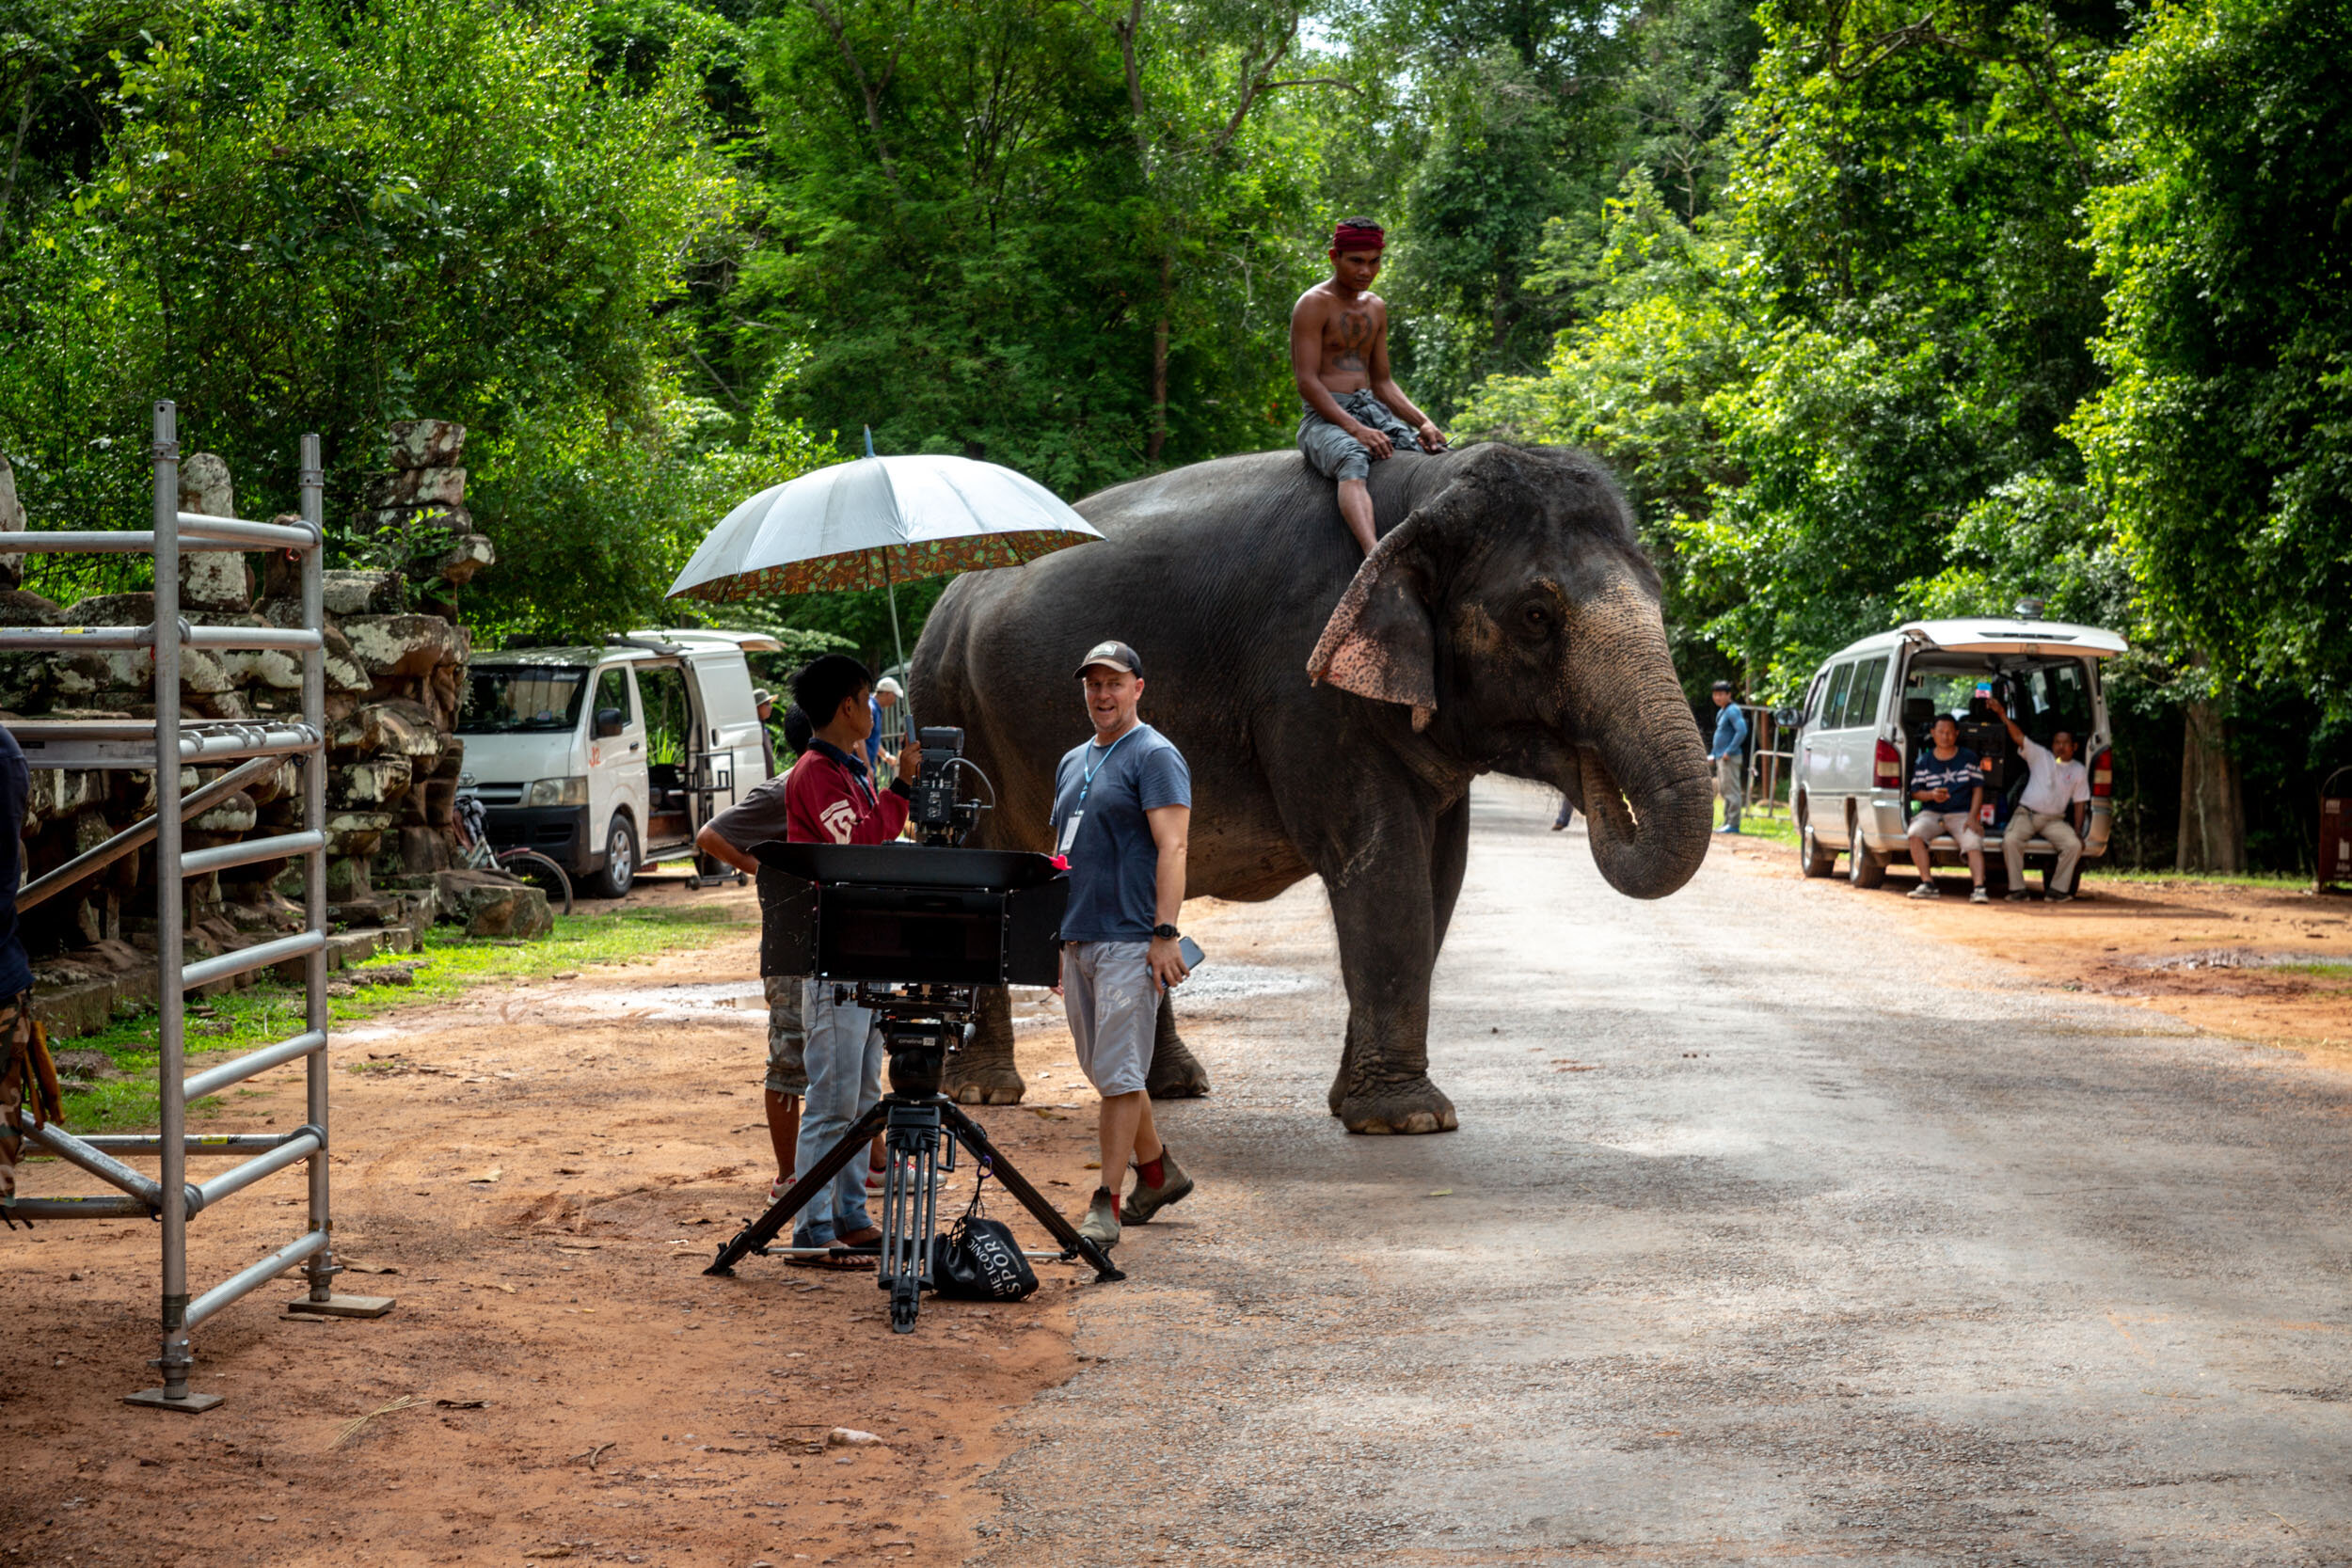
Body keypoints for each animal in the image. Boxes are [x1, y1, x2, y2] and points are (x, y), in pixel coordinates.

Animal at [913, 435, 1712, 1132]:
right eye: (1537, 615)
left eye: (1658, 592)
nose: (1591, 776)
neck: (1427, 487)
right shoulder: (1306, 684)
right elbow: (1383, 869)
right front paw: (1409, 1119)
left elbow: (1438, 876)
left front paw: (1358, 1104)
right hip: (947, 707)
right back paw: (987, 1091)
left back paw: (1167, 1085)